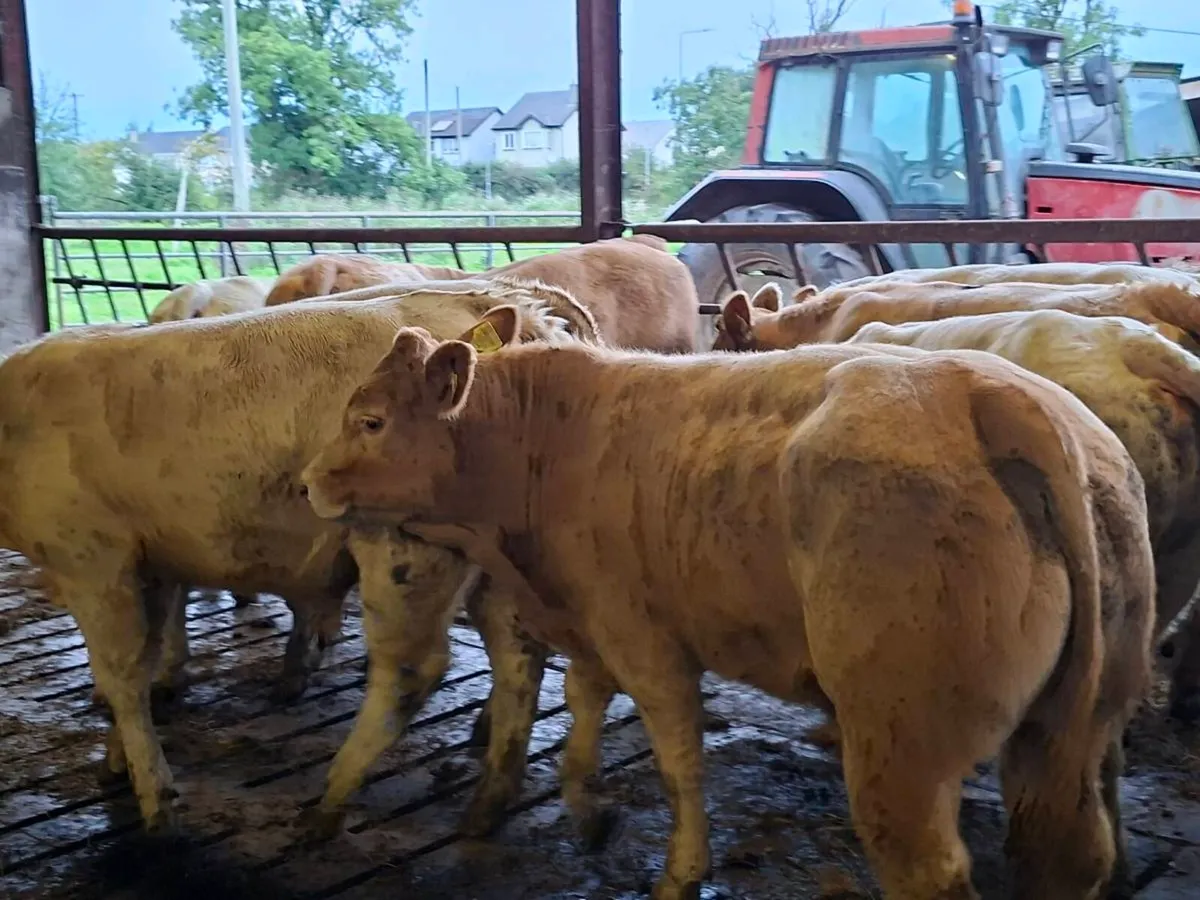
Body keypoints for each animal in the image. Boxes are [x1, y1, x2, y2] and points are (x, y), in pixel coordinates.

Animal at [0, 280, 599, 836]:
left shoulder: (93, 561)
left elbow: (122, 678)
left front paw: (154, 796)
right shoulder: (150, 562)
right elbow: (147, 660)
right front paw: (118, 759)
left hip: (404, 546)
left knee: (412, 669)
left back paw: (333, 797)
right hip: (492, 566)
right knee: (518, 658)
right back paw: (489, 798)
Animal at [300, 318, 1155, 900]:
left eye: (370, 420)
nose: (307, 482)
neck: (545, 442)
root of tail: (996, 394)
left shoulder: (647, 640)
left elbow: (678, 762)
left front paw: (679, 872)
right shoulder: (591, 622)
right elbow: (583, 702)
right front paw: (586, 809)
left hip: (903, 745)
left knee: (929, 867)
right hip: (1074, 730)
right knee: (1070, 850)